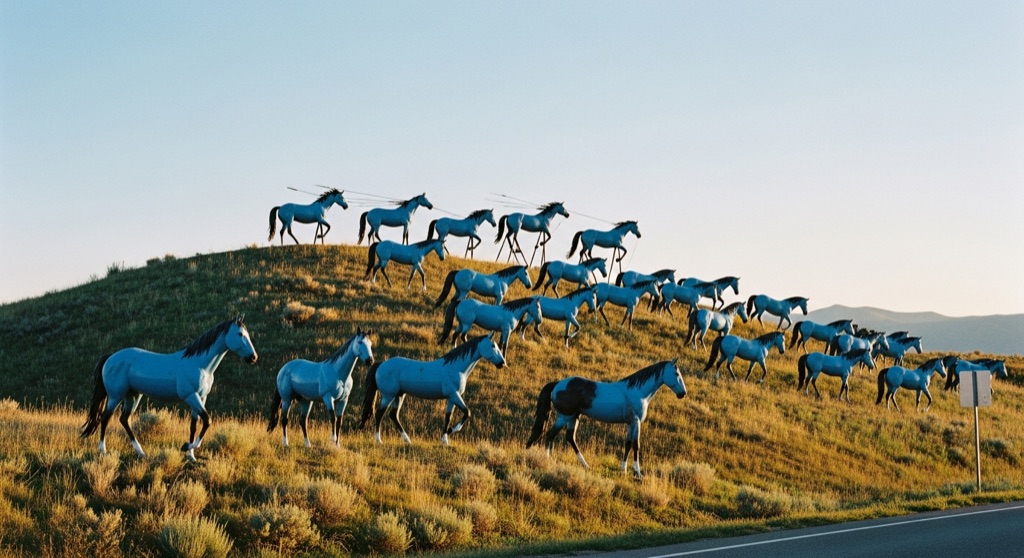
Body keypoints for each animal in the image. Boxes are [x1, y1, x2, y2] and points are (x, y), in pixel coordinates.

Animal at [81, 316, 258, 461]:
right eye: (240, 334)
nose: (253, 358)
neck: (200, 364)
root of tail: (110, 358)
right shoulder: (191, 396)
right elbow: (207, 420)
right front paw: (186, 447)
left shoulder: (201, 397)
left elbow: (194, 425)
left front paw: (191, 456)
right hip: (115, 396)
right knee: (105, 417)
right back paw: (103, 451)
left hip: (133, 396)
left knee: (124, 419)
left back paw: (141, 452)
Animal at [359, 335, 506, 445]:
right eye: (493, 346)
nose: (502, 363)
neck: (456, 368)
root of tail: (381, 364)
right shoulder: (454, 395)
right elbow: (467, 412)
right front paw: (452, 430)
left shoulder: (451, 398)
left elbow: (448, 417)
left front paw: (445, 440)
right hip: (388, 395)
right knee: (379, 413)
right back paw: (379, 440)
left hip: (399, 395)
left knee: (393, 415)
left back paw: (407, 440)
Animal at [525, 359, 686, 478]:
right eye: (676, 373)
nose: (683, 394)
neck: (639, 392)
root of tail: (557, 384)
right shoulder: (636, 422)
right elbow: (636, 445)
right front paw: (638, 473)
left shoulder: (630, 423)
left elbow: (628, 444)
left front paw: (623, 470)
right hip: (564, 417)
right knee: (550, 434)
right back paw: (548, 460)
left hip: (573, 417)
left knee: (570, 438)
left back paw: (585, 465)